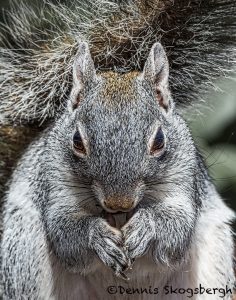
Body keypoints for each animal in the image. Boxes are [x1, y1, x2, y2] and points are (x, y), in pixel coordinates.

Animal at [0, 0, 236, 300]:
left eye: (160, 140)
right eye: (77, 141)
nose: (118, 203)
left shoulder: (184, 179)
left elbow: (177, 229)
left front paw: (146, 225)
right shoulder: (53, 181)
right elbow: (66, 234)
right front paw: (97, 236)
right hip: (23, 252)